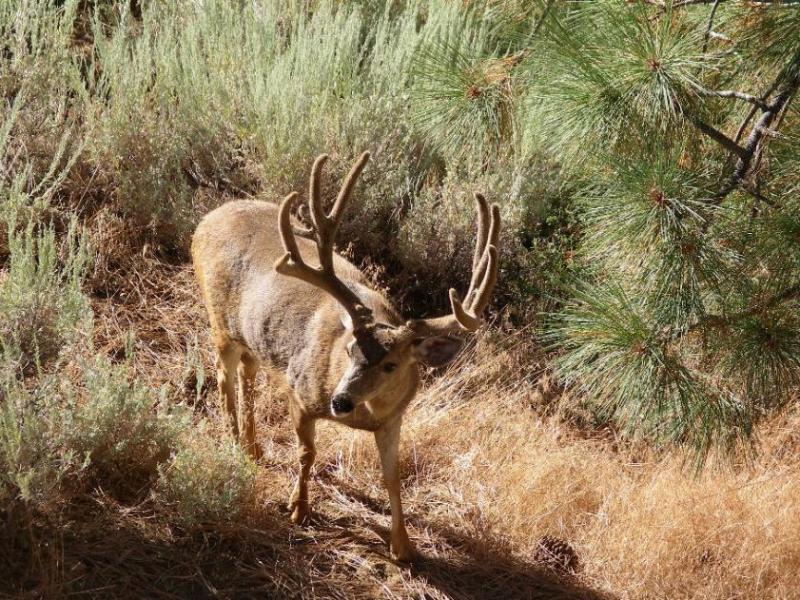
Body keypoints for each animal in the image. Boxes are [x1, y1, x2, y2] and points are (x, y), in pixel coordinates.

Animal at [191, 151, 500, 561]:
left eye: (391, 365)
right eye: (351, 348)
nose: (340, 401)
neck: (365, 414)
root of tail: (206, 220)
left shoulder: (393, 419)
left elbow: (392, 477)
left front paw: (403, 546)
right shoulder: (299, 393)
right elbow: (307, 452)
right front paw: (299, 509)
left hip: (251, 335)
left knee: (247, 372)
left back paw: (253, 447)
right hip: (219, 322)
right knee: (224, 376)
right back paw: (234, 444)